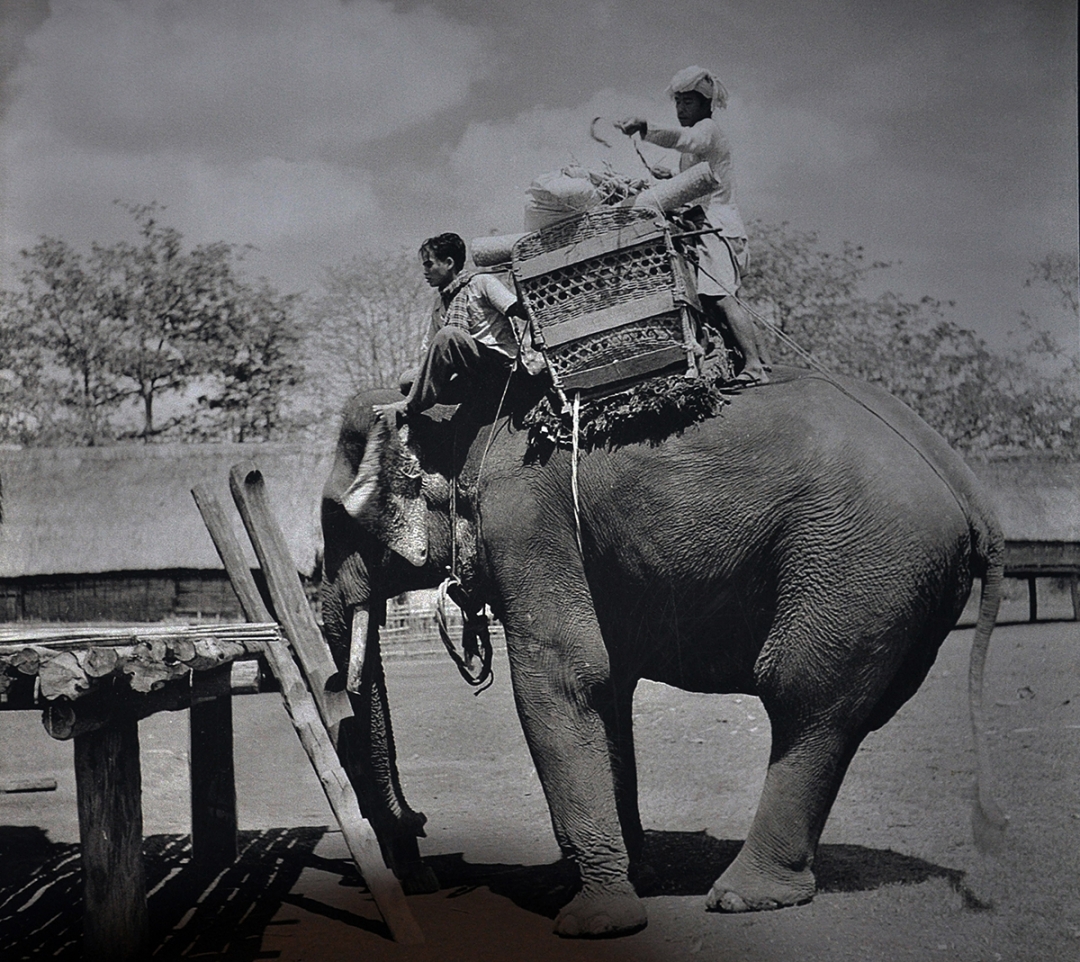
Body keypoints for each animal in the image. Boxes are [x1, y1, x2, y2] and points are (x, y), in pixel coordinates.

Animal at [319, 365, 1005, 938]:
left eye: (334, 520)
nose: (420, 843)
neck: (458, 414)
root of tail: (967, 482)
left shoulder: (526, 523)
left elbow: (563, 680)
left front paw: (595, 921)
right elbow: (607, 688)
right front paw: (622, 880)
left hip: (859, 565)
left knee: (804, 698)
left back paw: (741, 898)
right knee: (835, 711)